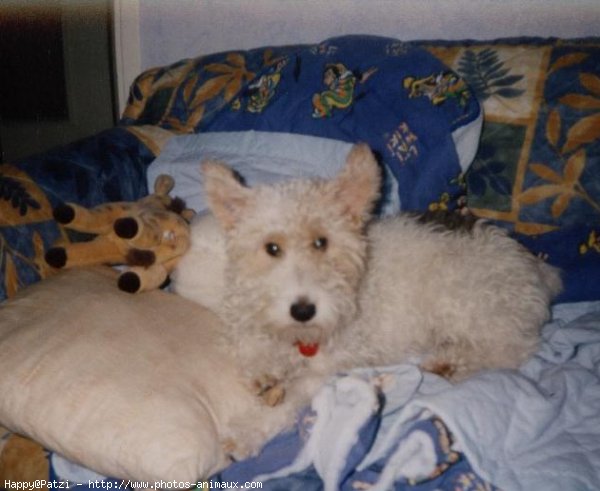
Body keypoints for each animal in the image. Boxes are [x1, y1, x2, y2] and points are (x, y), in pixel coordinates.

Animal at [172, 143, 564, 430]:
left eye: (321, 242)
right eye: (272, 248)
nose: (303, 310)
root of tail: (533, 266)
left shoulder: (328, 369)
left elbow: (292, 397)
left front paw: (247, 433)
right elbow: (248, 344)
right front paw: (262, 372)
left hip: (470, 303)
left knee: (509, 351)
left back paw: (450, 365)